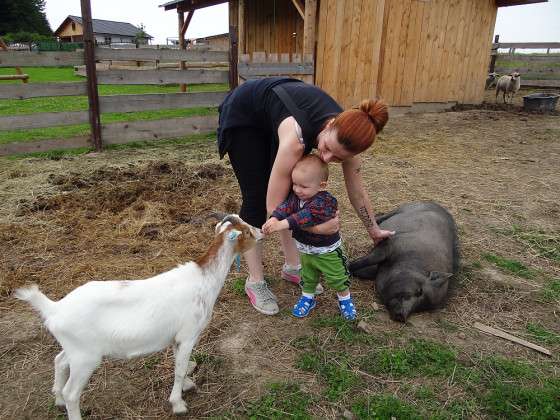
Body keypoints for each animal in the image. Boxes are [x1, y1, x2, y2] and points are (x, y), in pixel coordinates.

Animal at [14, 215, 264, 418]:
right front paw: (178, 404)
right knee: (72, 393)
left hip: (78, 349)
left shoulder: (176, 338)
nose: (261, 231)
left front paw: (187, 385)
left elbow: (180, 365)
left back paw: (57, 399)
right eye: (247, 231)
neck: (205, 279)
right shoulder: (188, 334)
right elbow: (180, 368)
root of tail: (54, 308)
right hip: (86, 357)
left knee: (59, 361)